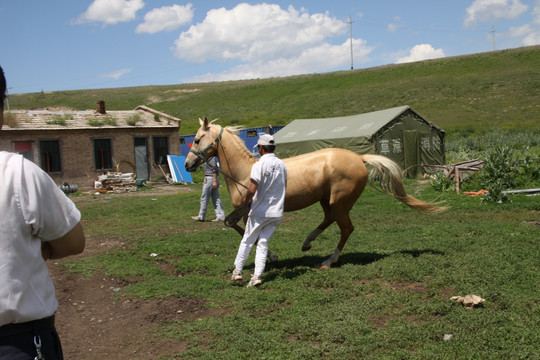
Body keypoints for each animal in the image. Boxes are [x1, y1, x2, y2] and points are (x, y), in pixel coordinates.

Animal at [186, 117, 448, 268]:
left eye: (197, 139)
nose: (188, 164)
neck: (245, 173)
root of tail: (359, 157)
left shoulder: (249, 211)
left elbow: (245, 233)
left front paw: (272, 257)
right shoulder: (245, 212)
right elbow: (239, 230)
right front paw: (272, 256)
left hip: (340, 202)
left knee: (346, 228)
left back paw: (329, 260)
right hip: (327, 200)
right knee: (330, 219)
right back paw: (307, 243)